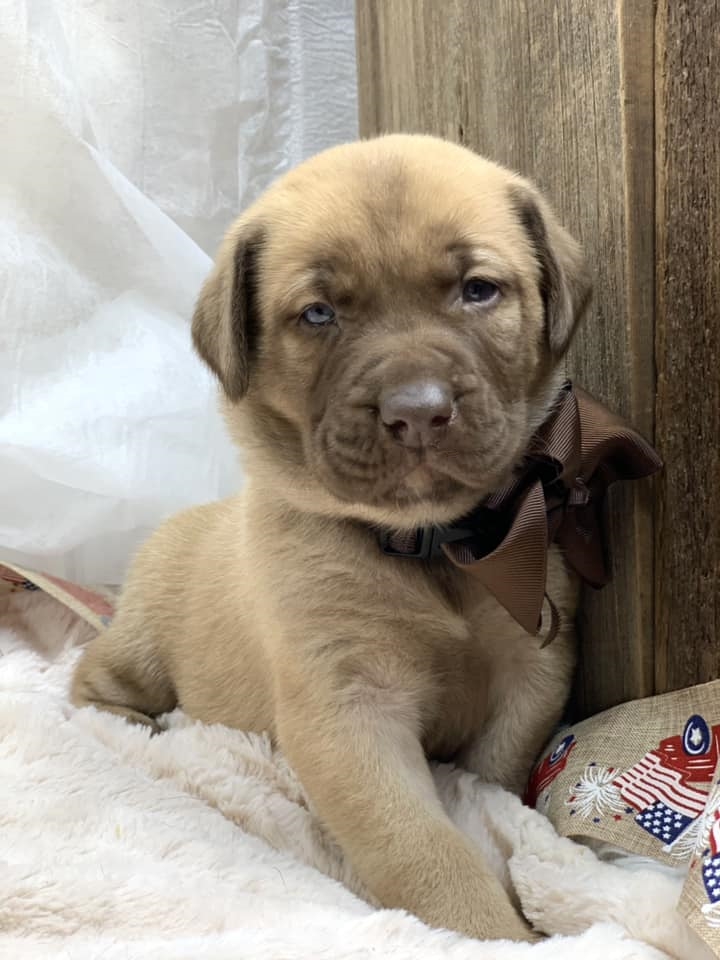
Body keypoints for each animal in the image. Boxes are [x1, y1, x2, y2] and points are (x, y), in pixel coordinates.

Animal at [71, 134, 591, 941]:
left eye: (478, 291)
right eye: (318, 314)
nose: (418, 412)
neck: (428, 546)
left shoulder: (531, 668)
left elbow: (492, 781)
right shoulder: (348, 709)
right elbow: (423, 848)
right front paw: (492, 934)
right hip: (143, 643)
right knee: (94, 683)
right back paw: (146, 732)